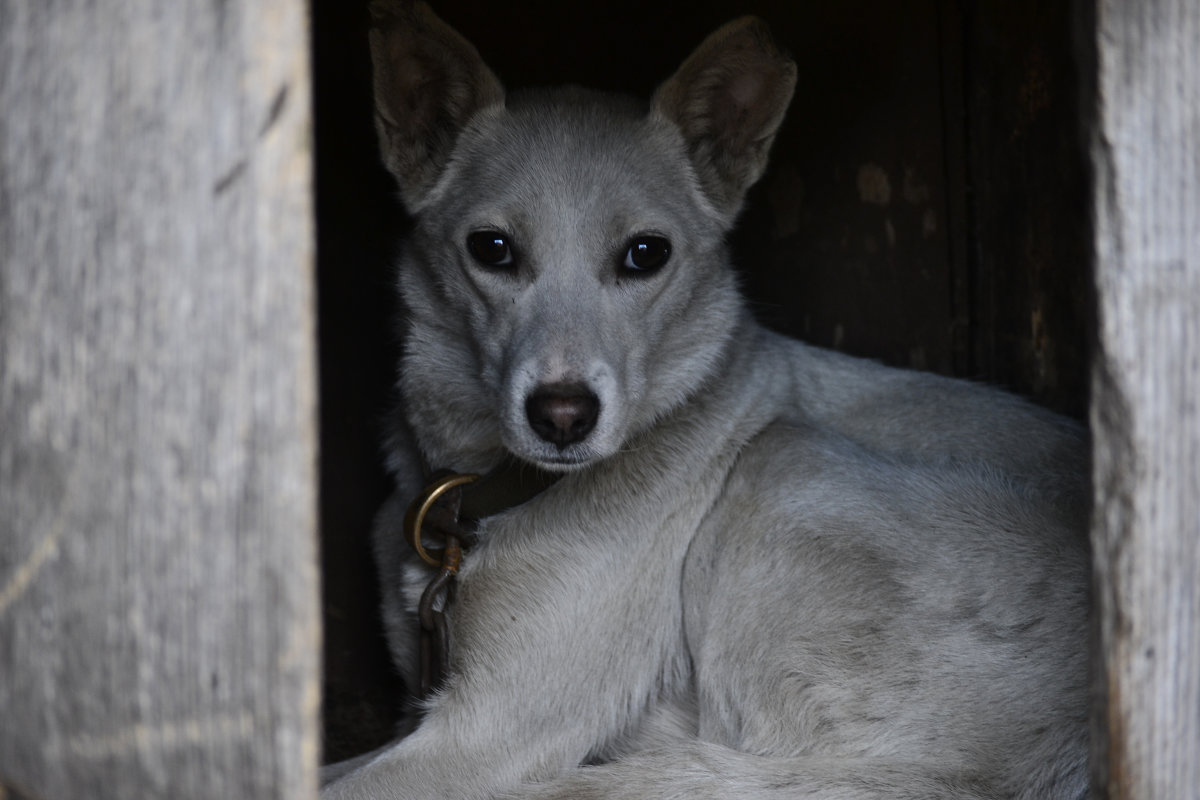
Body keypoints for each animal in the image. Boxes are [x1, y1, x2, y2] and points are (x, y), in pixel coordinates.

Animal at [324, 3, 1094, 796]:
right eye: (492, 248)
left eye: (645, 254)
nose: (563, 416)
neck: (482, 497)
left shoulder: (484, 737)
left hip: (783, 464)